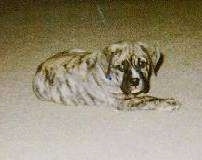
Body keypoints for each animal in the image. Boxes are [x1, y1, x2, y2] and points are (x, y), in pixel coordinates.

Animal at [32, 41, 181, 110]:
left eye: (142, 63)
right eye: (121, 67)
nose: (135, 81)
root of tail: (40, 66)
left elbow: (147, 96)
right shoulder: (121, 101)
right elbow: (146, 101)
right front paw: (167, 103)